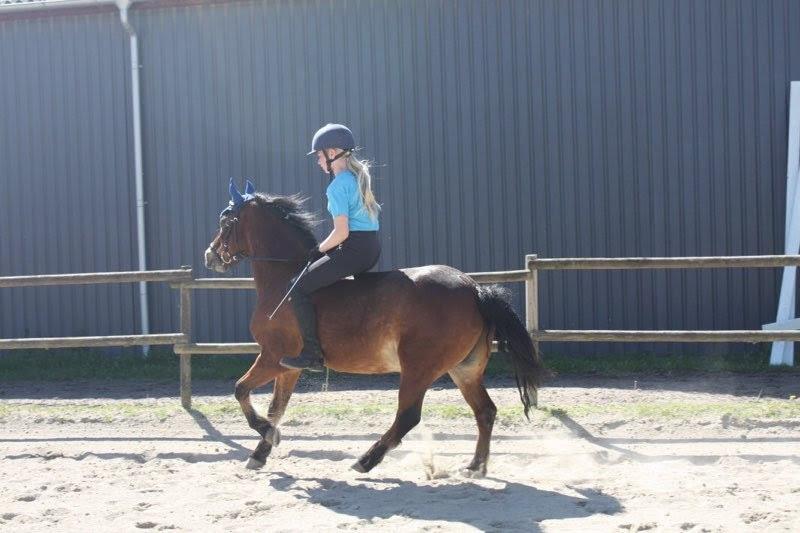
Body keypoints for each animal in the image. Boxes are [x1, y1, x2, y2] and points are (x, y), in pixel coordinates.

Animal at [203, 189, 548, 476]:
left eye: (225, 220)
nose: (210, 255)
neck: (284, 278)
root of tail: (474, 289)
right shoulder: (288, 367)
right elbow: (277, 408)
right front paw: (260, 453)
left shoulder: (272, 357)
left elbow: (240, 390)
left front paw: (268, 435)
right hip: (464, 369)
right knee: (485, 411)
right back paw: (475, 466)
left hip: (419, 369)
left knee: (408, 416)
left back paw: (365, 460)